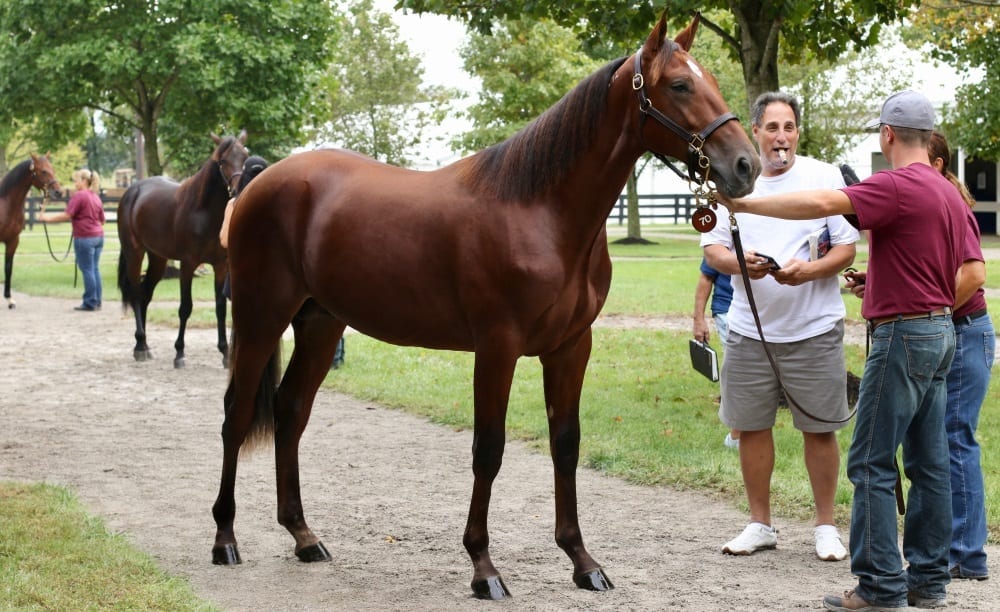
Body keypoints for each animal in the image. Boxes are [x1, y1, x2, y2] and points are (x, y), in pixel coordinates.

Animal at [0, 153, 62, 310]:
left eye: (52, 169)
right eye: (43, 171)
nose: (59, 192)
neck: (5, 205)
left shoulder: (13, 241)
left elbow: (8, 268)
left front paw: (9, 299)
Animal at [116, 131, 248, 366]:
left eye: (245, 156)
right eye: (223, 161)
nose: (237, 189)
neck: (203, 211)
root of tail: (132, 191)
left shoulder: (220, 266)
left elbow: (220, 308)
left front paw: (225, 352)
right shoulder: (188, 265)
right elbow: (185, 307)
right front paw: (179, 352)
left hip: (158, 259)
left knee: (145, 294)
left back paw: (145, 344)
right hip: (134, 253)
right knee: (136, 293)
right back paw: (139, 346)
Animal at [209, 11, 756, 600]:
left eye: (711, 80)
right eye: (679, 86)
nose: (745, 165)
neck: (540, 211)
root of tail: (260, 184)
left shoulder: (571, 347)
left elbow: (566, 444)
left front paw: (582, 561)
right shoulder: (497, 348)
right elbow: (488, 450)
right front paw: (483, 567)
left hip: (320, 324)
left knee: (291, 411)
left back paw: (304, 537)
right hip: (261, 317)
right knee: (236, 415)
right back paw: (224, 539)